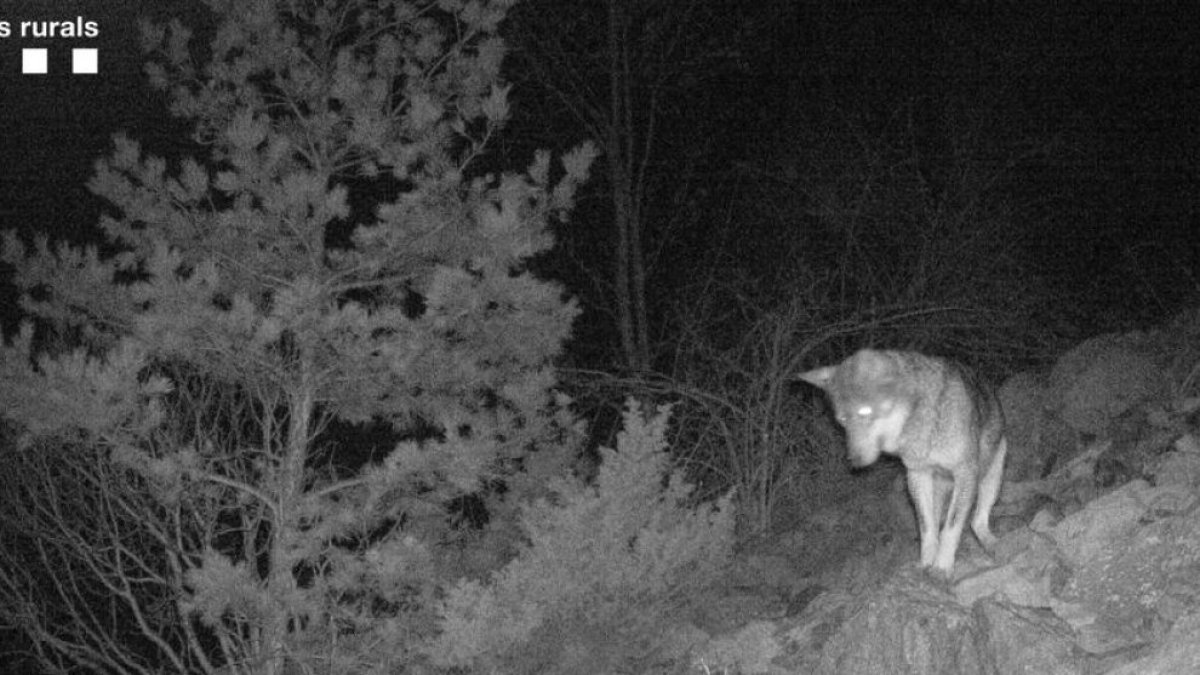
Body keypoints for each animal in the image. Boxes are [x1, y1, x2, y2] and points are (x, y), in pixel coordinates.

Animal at [799, 349, 1007, 576]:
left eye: (865, 413)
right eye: (842, 420)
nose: (853, 461)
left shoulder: (965, 473)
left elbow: (951, 527)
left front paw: (942, 567)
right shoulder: (916, 475)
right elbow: (927, 528)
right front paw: (926, 563)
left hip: (991, 478)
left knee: (977, 522)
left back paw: (993, 545)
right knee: (942, 522)